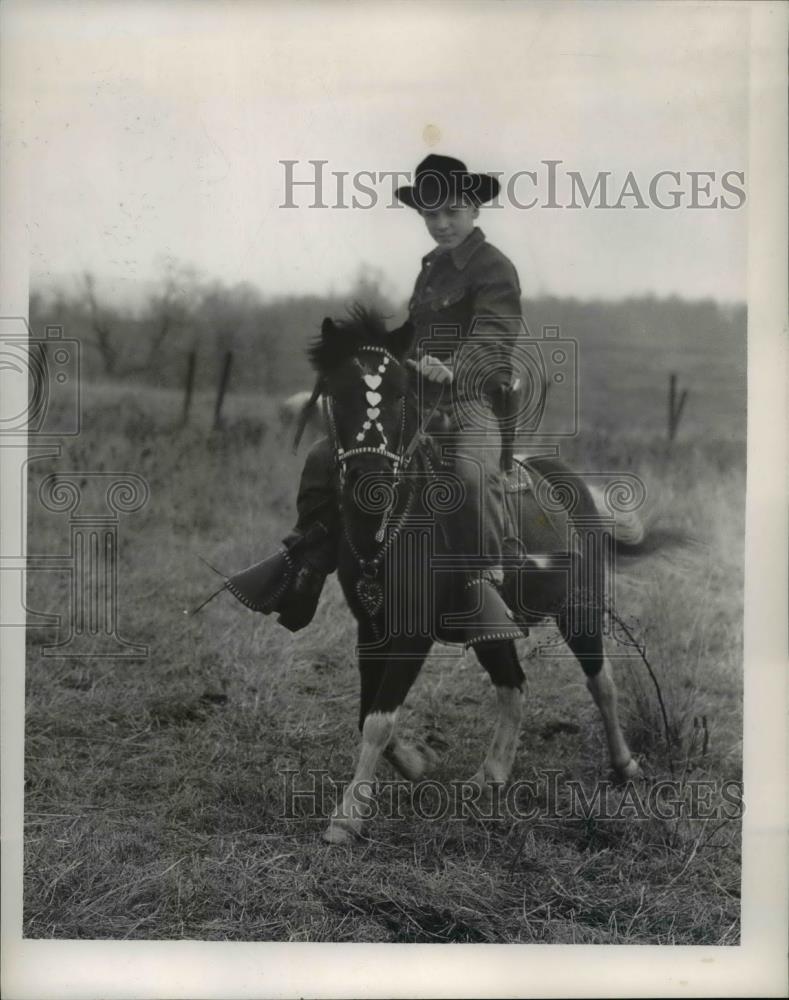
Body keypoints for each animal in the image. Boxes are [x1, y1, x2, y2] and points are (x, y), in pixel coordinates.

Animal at [308, 304, 648, 844]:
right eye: (337, 392)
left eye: (401, 394)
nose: (370, 482)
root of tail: (561, 478)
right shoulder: (371, 627)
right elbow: (368, 713)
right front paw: (414, 762)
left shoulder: (412, 634)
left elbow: (380, 719)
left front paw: (347, 815)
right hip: (493, 627)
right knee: (514, 685)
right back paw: (492, 773)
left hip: (579, 610)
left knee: (602, 681)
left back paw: (624, 763)